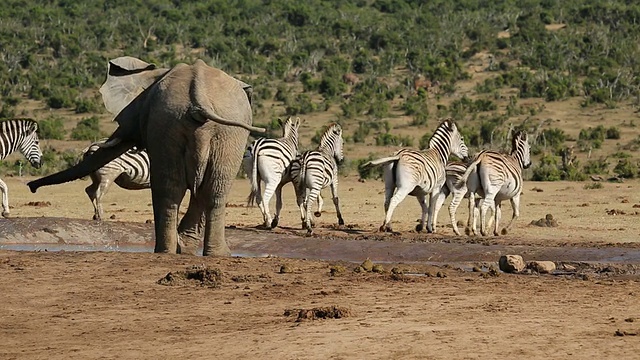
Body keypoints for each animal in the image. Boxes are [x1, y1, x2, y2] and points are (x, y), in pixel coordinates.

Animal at [27, 57, 264, 256]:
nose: (31, 186)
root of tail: (199, 96)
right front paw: (184, 245)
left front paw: (184, 244)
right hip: (181, 123)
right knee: (190, 190)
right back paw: (179, 251)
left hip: (212, 130)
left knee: (198, 190)